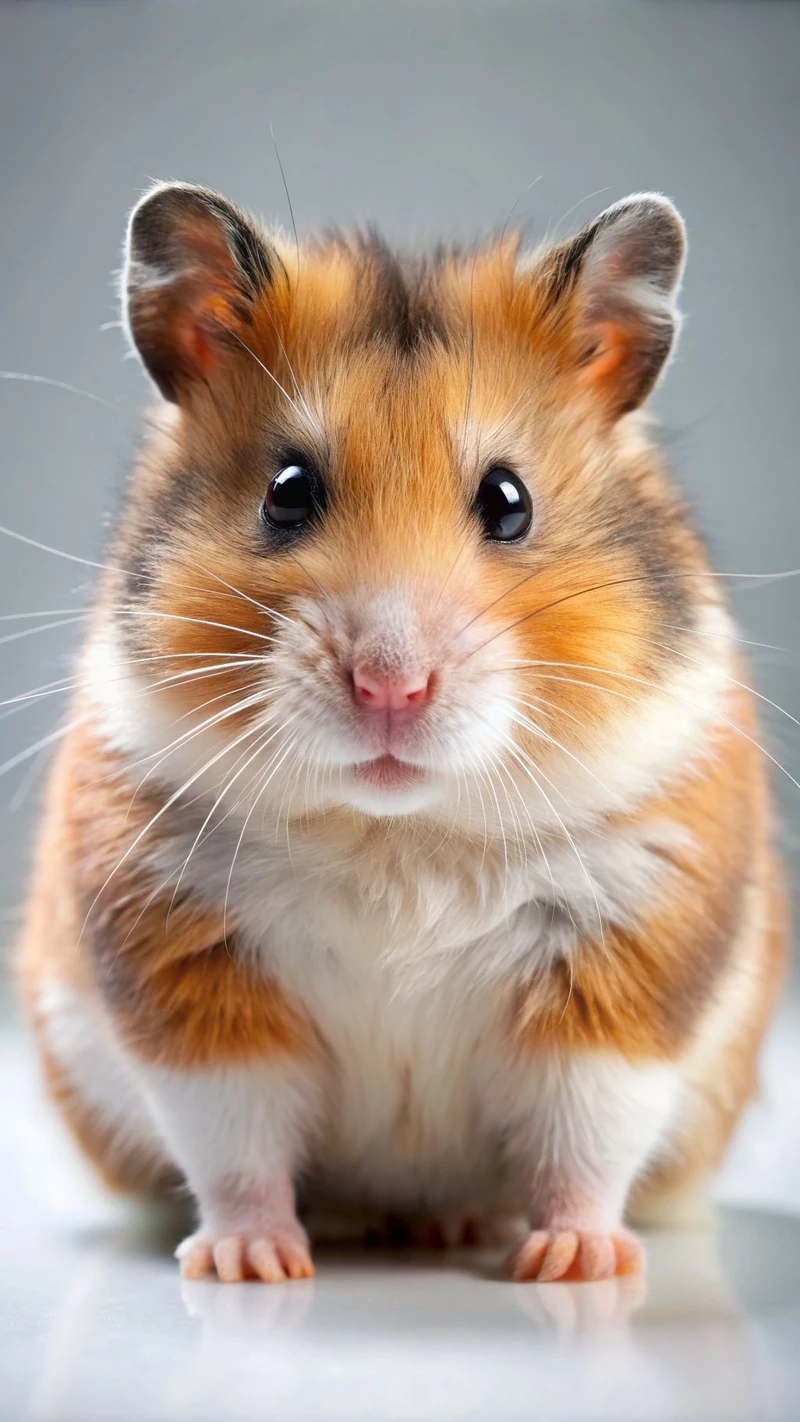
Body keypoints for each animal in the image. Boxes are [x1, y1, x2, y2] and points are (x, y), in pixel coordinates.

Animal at [17, 182, 786, 1284]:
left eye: (508, 500)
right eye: (287, 491)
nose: (392, 685)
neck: (397, 830)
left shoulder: (623, 969)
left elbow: (584, 1132)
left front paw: (573, 1263)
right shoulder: (189, 974)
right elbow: (234, 1140)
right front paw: (251, 1265)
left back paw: (460, 1225)